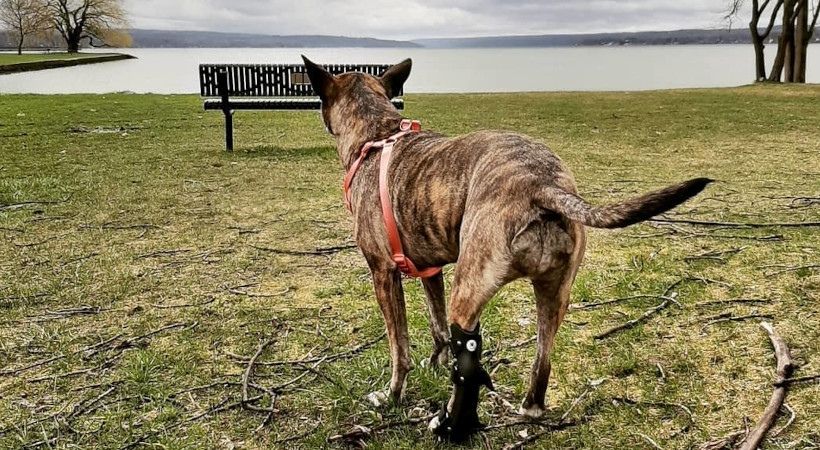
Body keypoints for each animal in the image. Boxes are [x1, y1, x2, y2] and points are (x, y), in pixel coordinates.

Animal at [302, 55, 712, 440]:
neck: (378, 134)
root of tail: (542, 185)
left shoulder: (383, 274)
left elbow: (399, 348)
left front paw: (392, 396)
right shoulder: (431, 272)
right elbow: (436, 327)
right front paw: (435, 364)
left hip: (469, 286)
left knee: (468, 357)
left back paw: (452, 425)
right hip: (553, 296)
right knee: (540, 360)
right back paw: (527, 408)